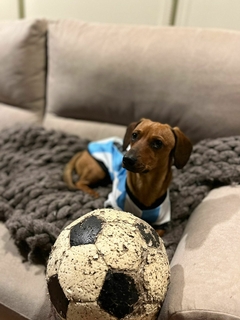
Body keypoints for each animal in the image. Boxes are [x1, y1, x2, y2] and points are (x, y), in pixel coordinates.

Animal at [62, 119, 192, 236]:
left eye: (158, 143)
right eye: (134, 135)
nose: (126, 159)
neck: (145, 184)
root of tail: (84, 151)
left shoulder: (162, 223)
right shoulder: (113, 203)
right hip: (97, 170)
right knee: (79, 183)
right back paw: (92, 192)